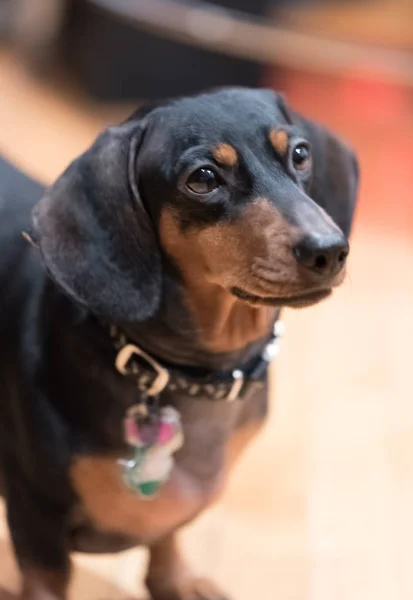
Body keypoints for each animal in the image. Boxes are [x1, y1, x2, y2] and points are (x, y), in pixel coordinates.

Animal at [0, 86, 358, 596]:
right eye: (203, 178)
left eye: (301, 154)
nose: (329, 250)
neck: (189, 373)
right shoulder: (35, 513)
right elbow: (46, 577)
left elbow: (168, 534)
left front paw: (175, 580)